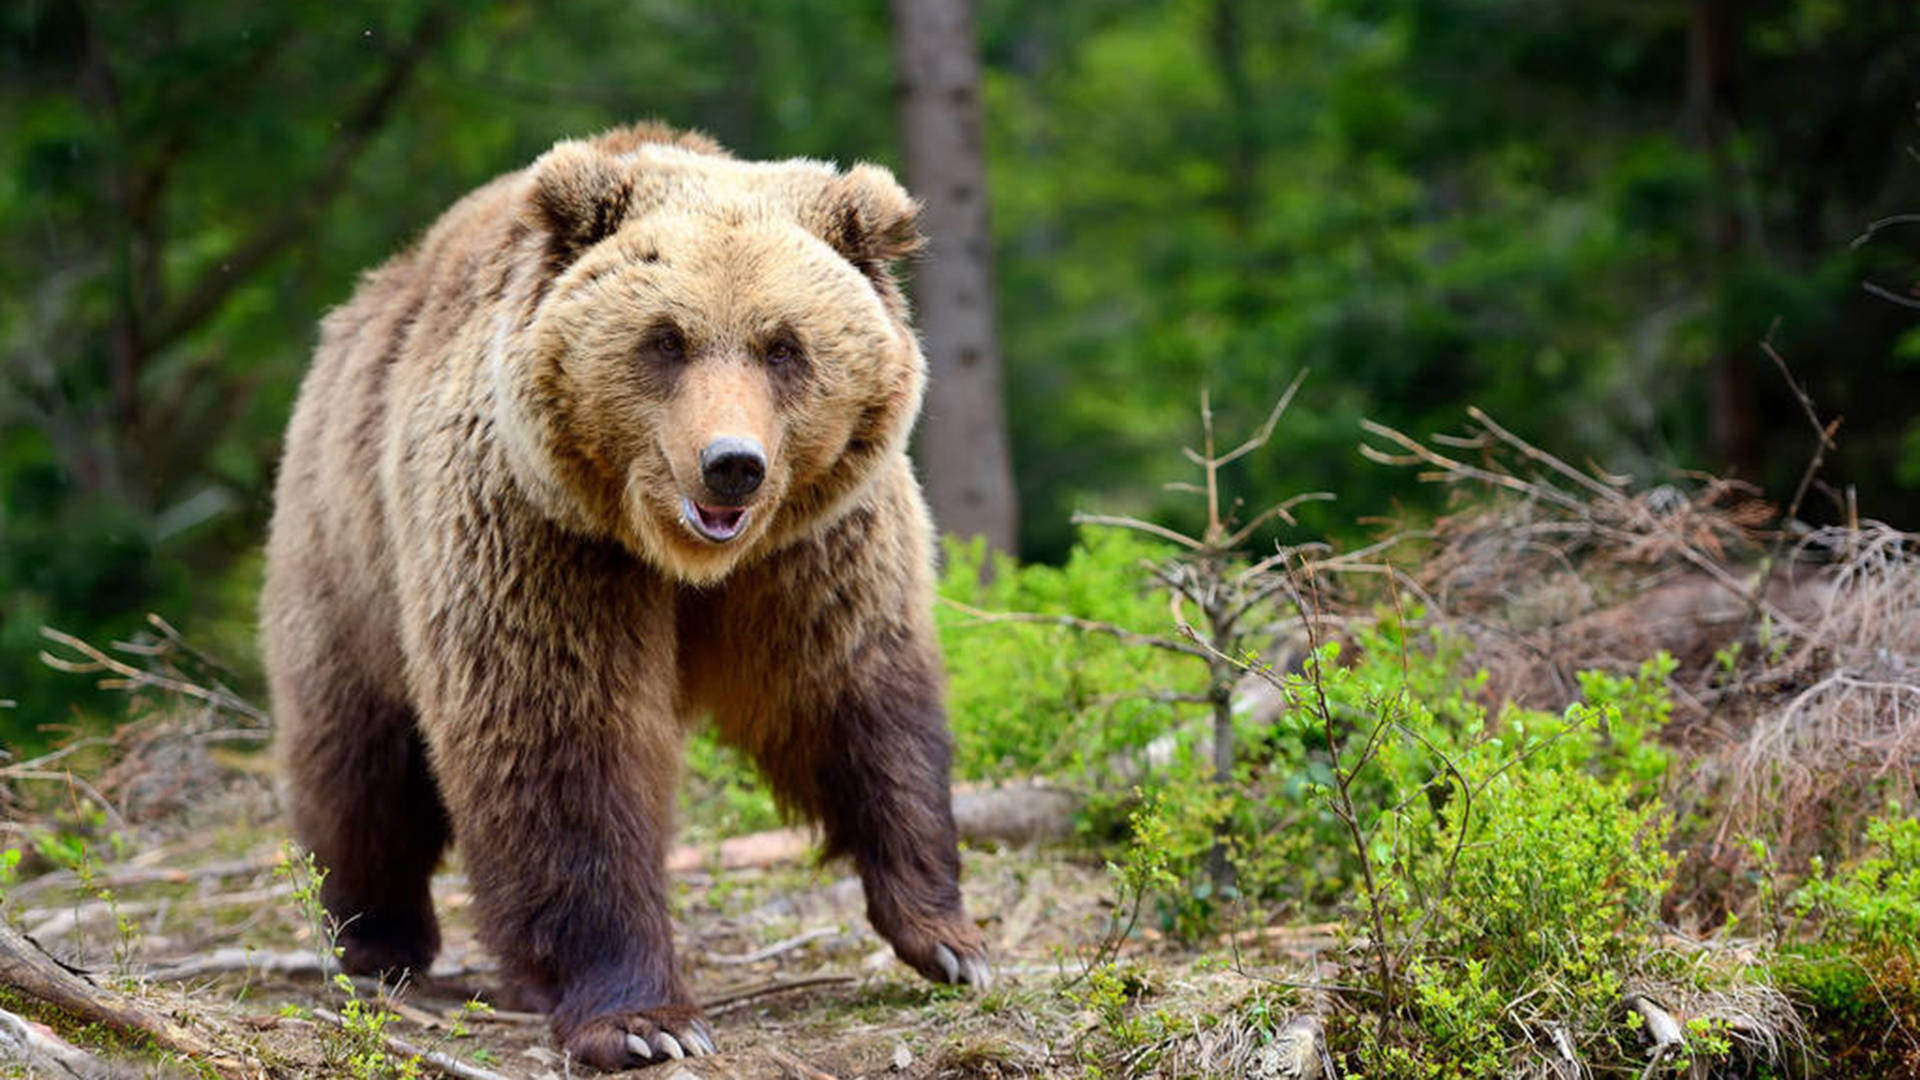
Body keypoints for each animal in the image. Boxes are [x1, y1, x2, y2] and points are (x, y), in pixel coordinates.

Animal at [257, 122, 990, 1060]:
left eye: (784, 345)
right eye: (666, 339)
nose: (731, 464)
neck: (682, 562)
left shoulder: (813, 553)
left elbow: (858, 698)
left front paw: (948, 937)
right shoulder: (545, 540)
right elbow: (561, 742)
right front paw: (646, 1022)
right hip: (347, 548)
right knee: (359, 756)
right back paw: (376, 939)